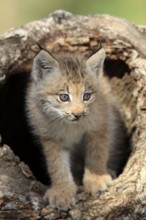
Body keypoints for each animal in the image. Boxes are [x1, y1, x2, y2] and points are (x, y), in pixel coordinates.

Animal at [26, 47, 129, 210]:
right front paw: (62, 192)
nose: (78, 114)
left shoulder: (100, 126)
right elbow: (57, 165)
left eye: (86, 96)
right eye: (63, 97)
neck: (71, 126)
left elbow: (97, 154)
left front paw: (96, 179)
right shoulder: (50, 137)